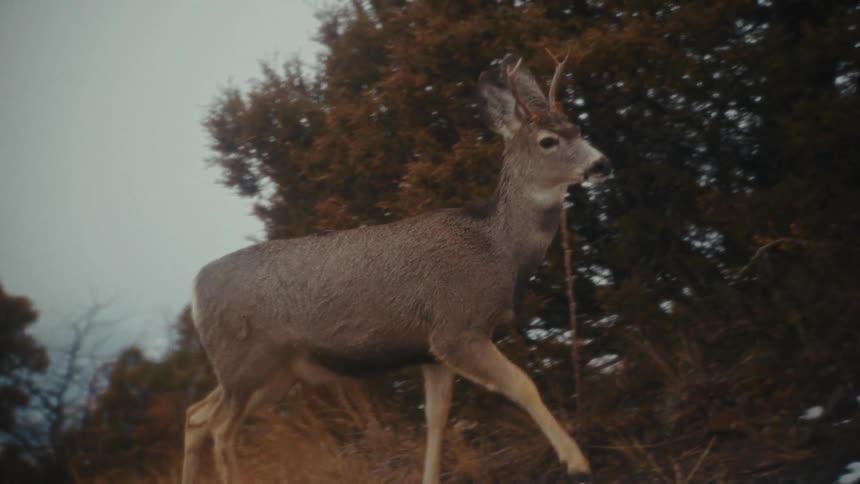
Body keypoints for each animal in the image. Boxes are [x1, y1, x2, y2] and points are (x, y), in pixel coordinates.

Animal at [181, 51, 609, 484]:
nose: (601, 163)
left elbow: (437, 421)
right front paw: (576, 462)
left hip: (270, 372)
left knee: (195, 415)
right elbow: (523, 385)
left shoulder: (431, 351)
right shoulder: (457, 327)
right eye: (548, 141)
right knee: (220, 428)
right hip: (246, 361)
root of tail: (196, 289)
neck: (499, 249)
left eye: (577, 126)